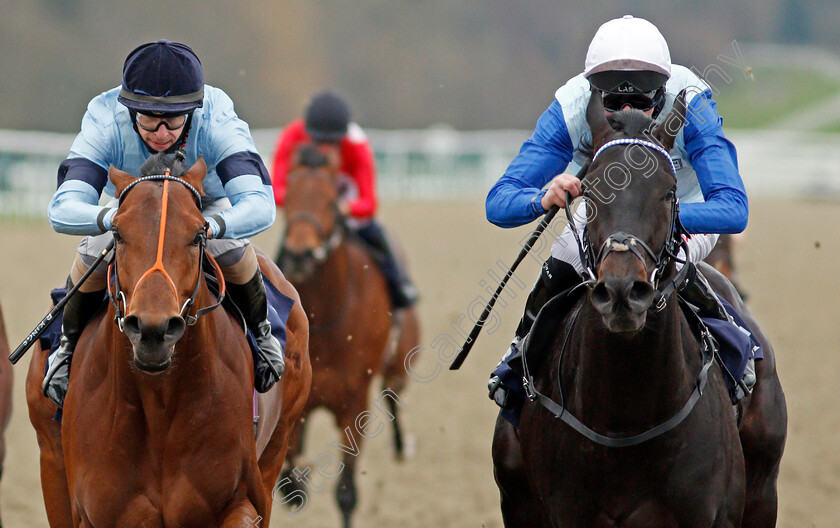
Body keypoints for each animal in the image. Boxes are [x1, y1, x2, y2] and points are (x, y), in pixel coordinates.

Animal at [28, 155, 316, 524]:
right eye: (117, 233)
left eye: (198, 234)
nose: (153, 331)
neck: (158, 402)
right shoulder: (91, 512)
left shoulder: (244, 500)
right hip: (51, 462)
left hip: (277, 444)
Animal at [276, 144, 420, 528]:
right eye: (289, 197)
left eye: (330, 201)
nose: (299, 255)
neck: (325, 317)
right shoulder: (300, 398)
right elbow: (287, 472)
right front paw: (297, 483)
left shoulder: (354, 402)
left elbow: (346, 492)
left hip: (400, 360)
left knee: (393, 395)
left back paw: (403, 445)